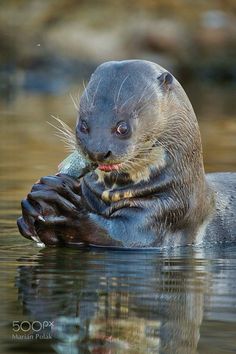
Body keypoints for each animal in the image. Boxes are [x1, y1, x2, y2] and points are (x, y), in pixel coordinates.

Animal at [17, 59, 236, 248]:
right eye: (83, 125)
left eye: (123, 127)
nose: (97, 151)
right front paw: (37, 198)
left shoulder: (167, 212)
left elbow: (120, 236)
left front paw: (64, 207)